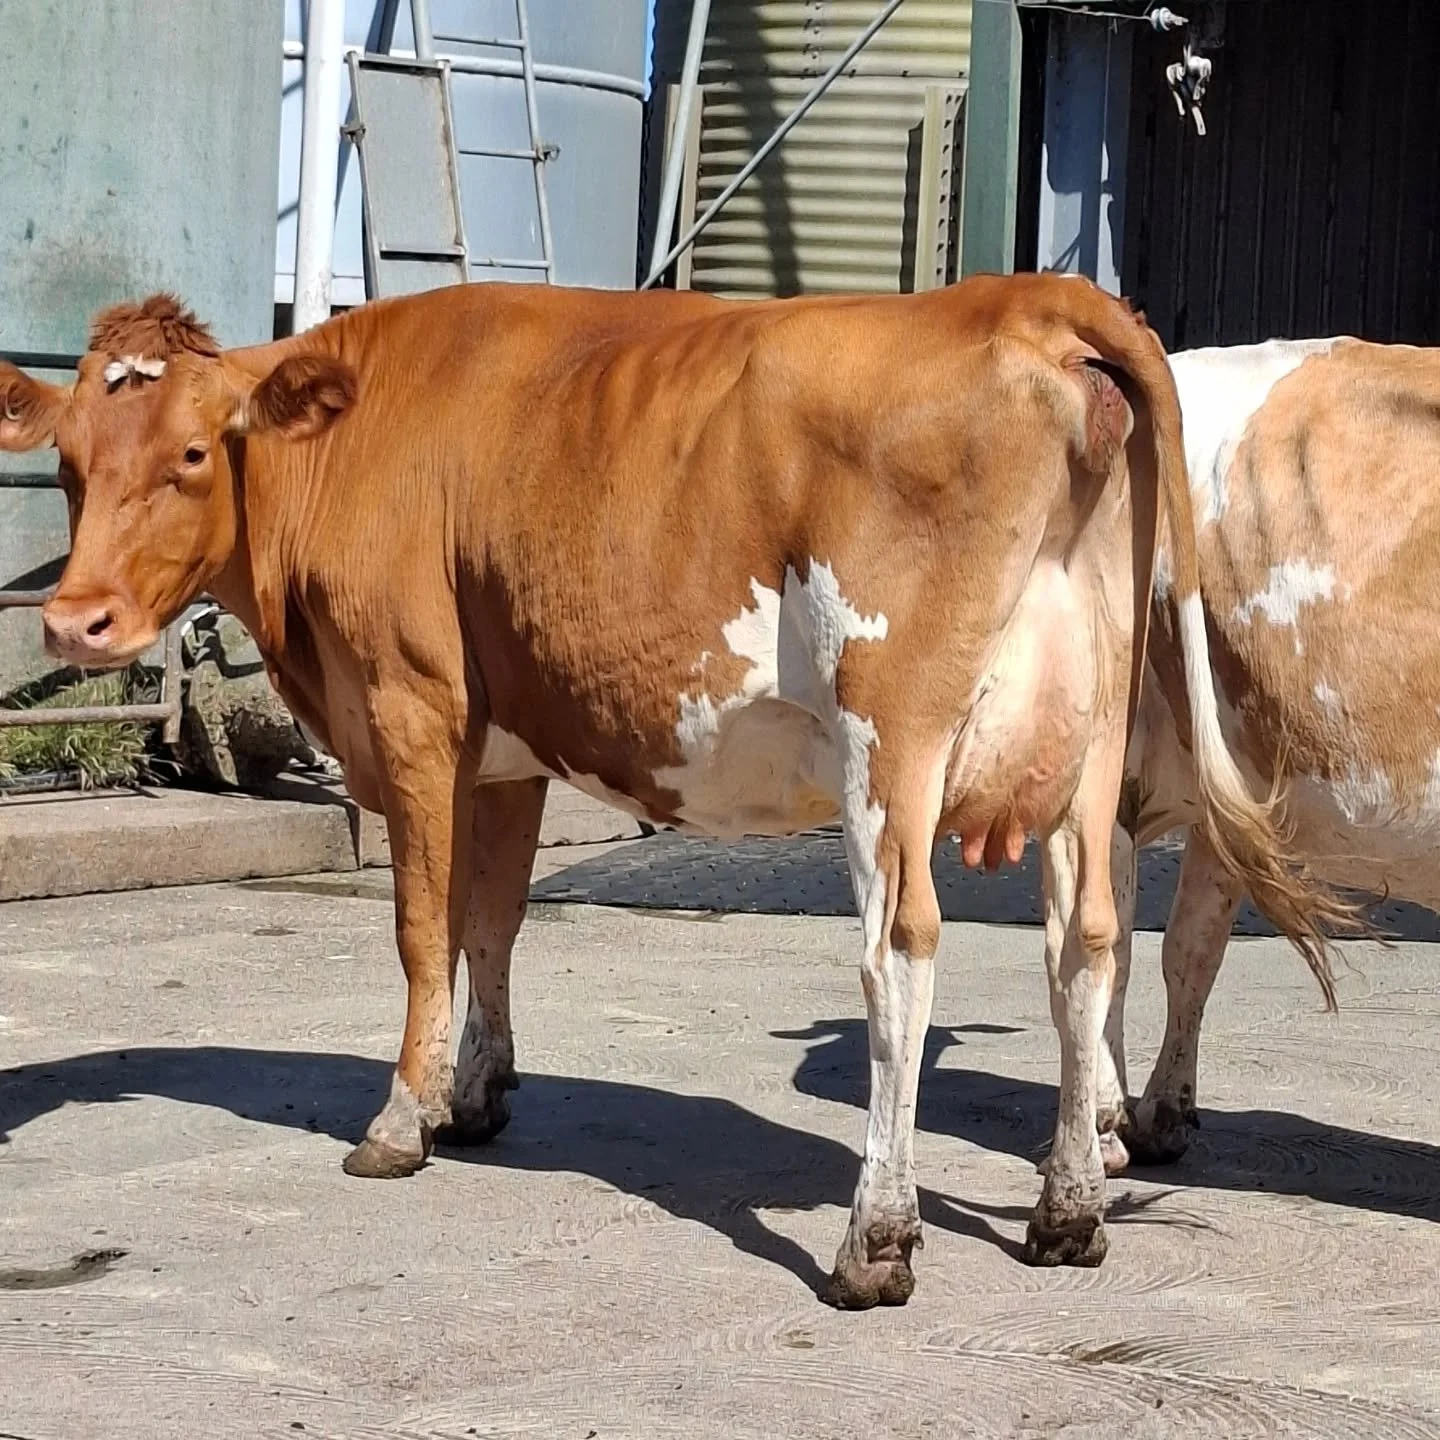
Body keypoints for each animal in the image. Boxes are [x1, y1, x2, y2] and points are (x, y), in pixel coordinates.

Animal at [0, 275, 1345, 1308]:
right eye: (66, 464)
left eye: (189, 455)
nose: (71, 620)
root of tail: (1027, 297)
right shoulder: (511, 743)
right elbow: (493, 923)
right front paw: (477, 1093)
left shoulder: (413, 705)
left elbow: (424, 929)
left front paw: (400, 1119)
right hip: (1085, 749)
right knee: (1087, 949)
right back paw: (1068, 1213)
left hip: (892, 737)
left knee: (900, 955)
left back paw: (878, 1237)